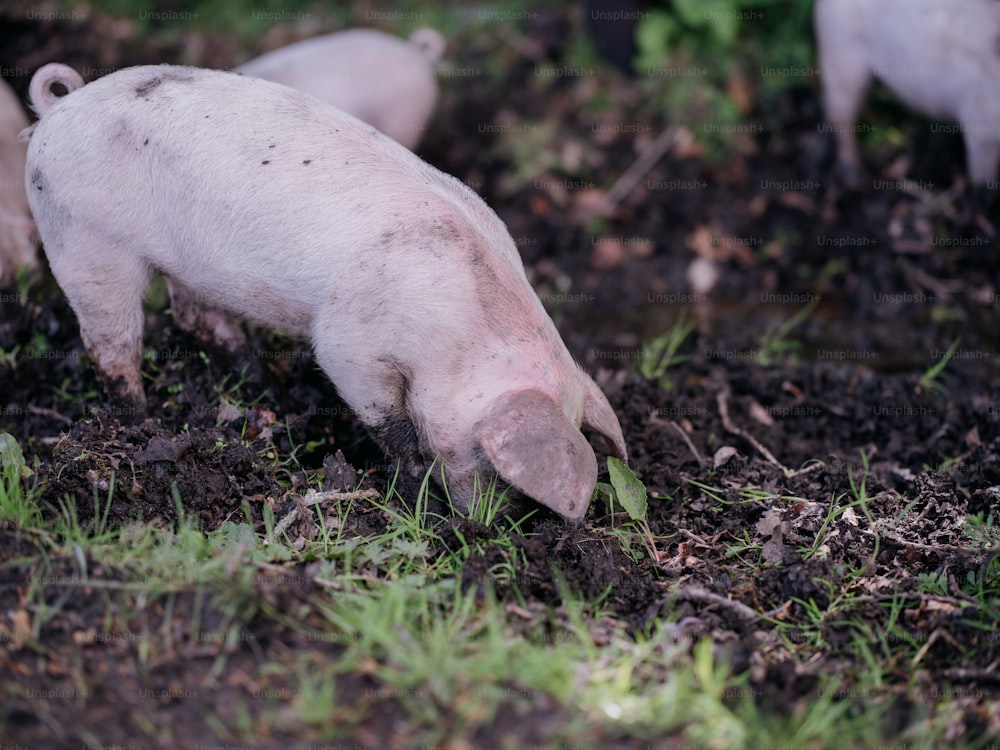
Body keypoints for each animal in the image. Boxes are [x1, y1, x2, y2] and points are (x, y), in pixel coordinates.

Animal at [27, 63, 628, 524]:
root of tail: (60, 106)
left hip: (182, 264)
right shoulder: (349, 344)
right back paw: (137, 420)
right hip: (84, 241)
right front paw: (418, 495)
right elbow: (390, 422)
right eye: (488, 456)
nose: (492, 525)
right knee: (110, 342)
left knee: (194, 316)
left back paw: (259, 382)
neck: (461, 333)